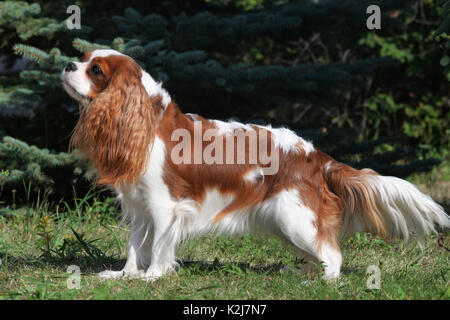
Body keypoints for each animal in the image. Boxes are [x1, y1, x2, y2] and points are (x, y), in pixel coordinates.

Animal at [61, 48, 448, 280]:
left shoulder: (164, 206)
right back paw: (303, 273)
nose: (67, 64)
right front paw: (125, 274)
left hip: (293, 216)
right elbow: (134, 245)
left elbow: (157, 247)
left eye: (95, 70)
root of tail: (321, 159)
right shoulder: (140, 208)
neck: (148, 122)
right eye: (82, 58)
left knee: (334, 257)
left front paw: (152, 277)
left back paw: (321, 281)